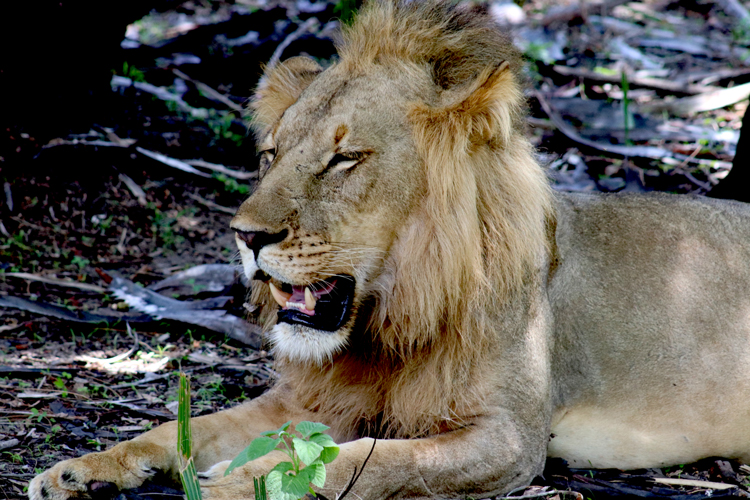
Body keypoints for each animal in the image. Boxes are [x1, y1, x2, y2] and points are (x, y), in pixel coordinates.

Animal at [30, 0, 750, 500]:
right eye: (271, 155)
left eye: (344, 159)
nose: (246, 236)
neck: (389, 318)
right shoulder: (306, 403)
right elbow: (183, 429)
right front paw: (81, 471)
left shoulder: (510, 437)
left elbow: (364, 462)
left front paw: (236, 484)